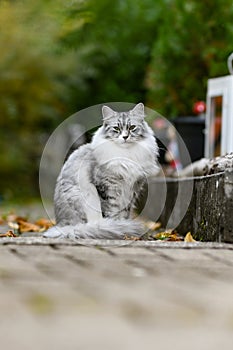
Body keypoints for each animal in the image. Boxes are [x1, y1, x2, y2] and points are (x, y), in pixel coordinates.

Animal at [44, 102, 158, 239]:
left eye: (132, 127)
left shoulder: (132, 189)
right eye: (116, 129)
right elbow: (111, 212)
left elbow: (124, 213)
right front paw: (117, 227)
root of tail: (62, 225)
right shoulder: (106, 187)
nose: (125, 137)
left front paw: (122, 228)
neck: (125, 155)